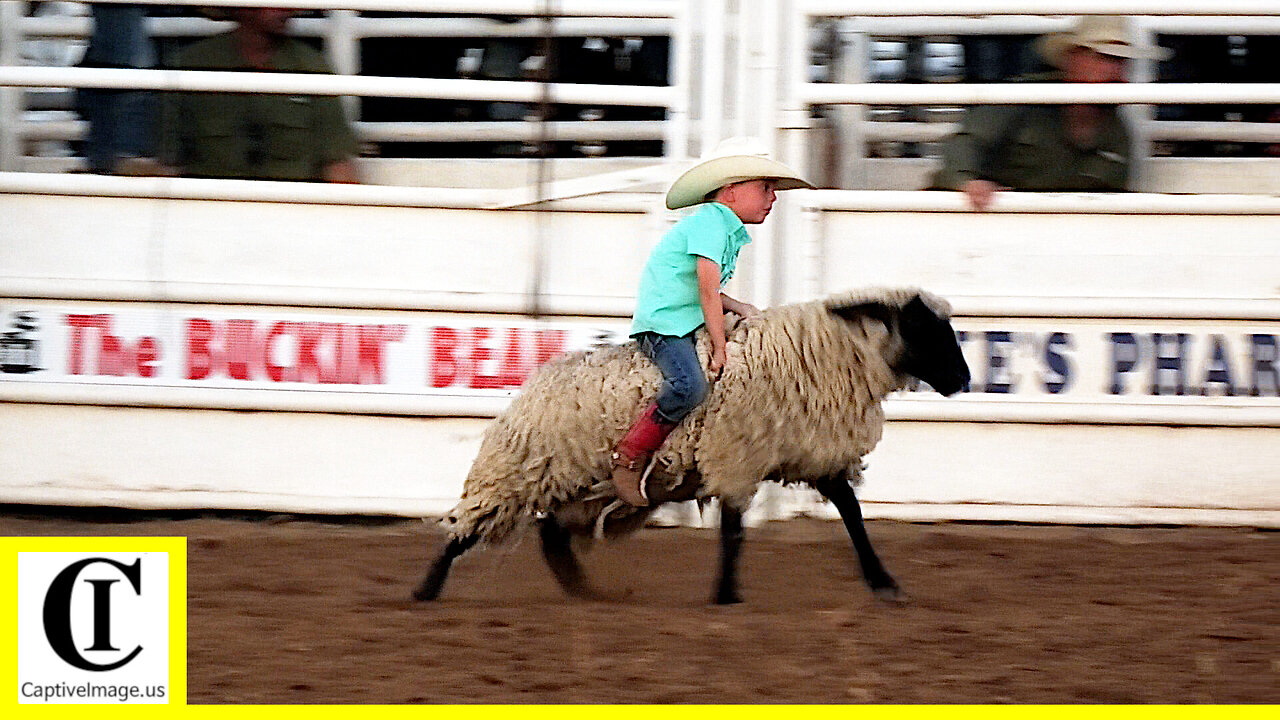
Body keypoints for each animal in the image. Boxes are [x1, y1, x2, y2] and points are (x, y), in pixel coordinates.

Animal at [412, 285, 967, 599]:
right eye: (924, 328)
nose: (962, 379)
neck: (822, 354)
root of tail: (530, 390)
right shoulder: (737, 455)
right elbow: (734, 531)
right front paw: (726, 595)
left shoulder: (808, 454)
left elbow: (851, 513)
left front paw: (884, 583)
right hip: (518, 476)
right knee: (467, 528)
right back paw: (425, 590)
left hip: (580, 488)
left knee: (551, 534)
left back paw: (582, 590)